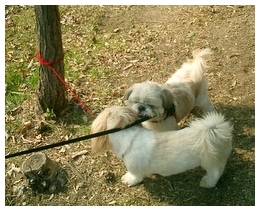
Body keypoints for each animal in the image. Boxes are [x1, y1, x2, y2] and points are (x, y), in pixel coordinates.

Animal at [90, 106, 233, 187]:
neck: (128, 138)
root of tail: (215, 130)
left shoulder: (135, 170)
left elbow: (135, 177)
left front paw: (128, 180)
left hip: (211, 162)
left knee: (215, 173)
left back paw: (207, 183)